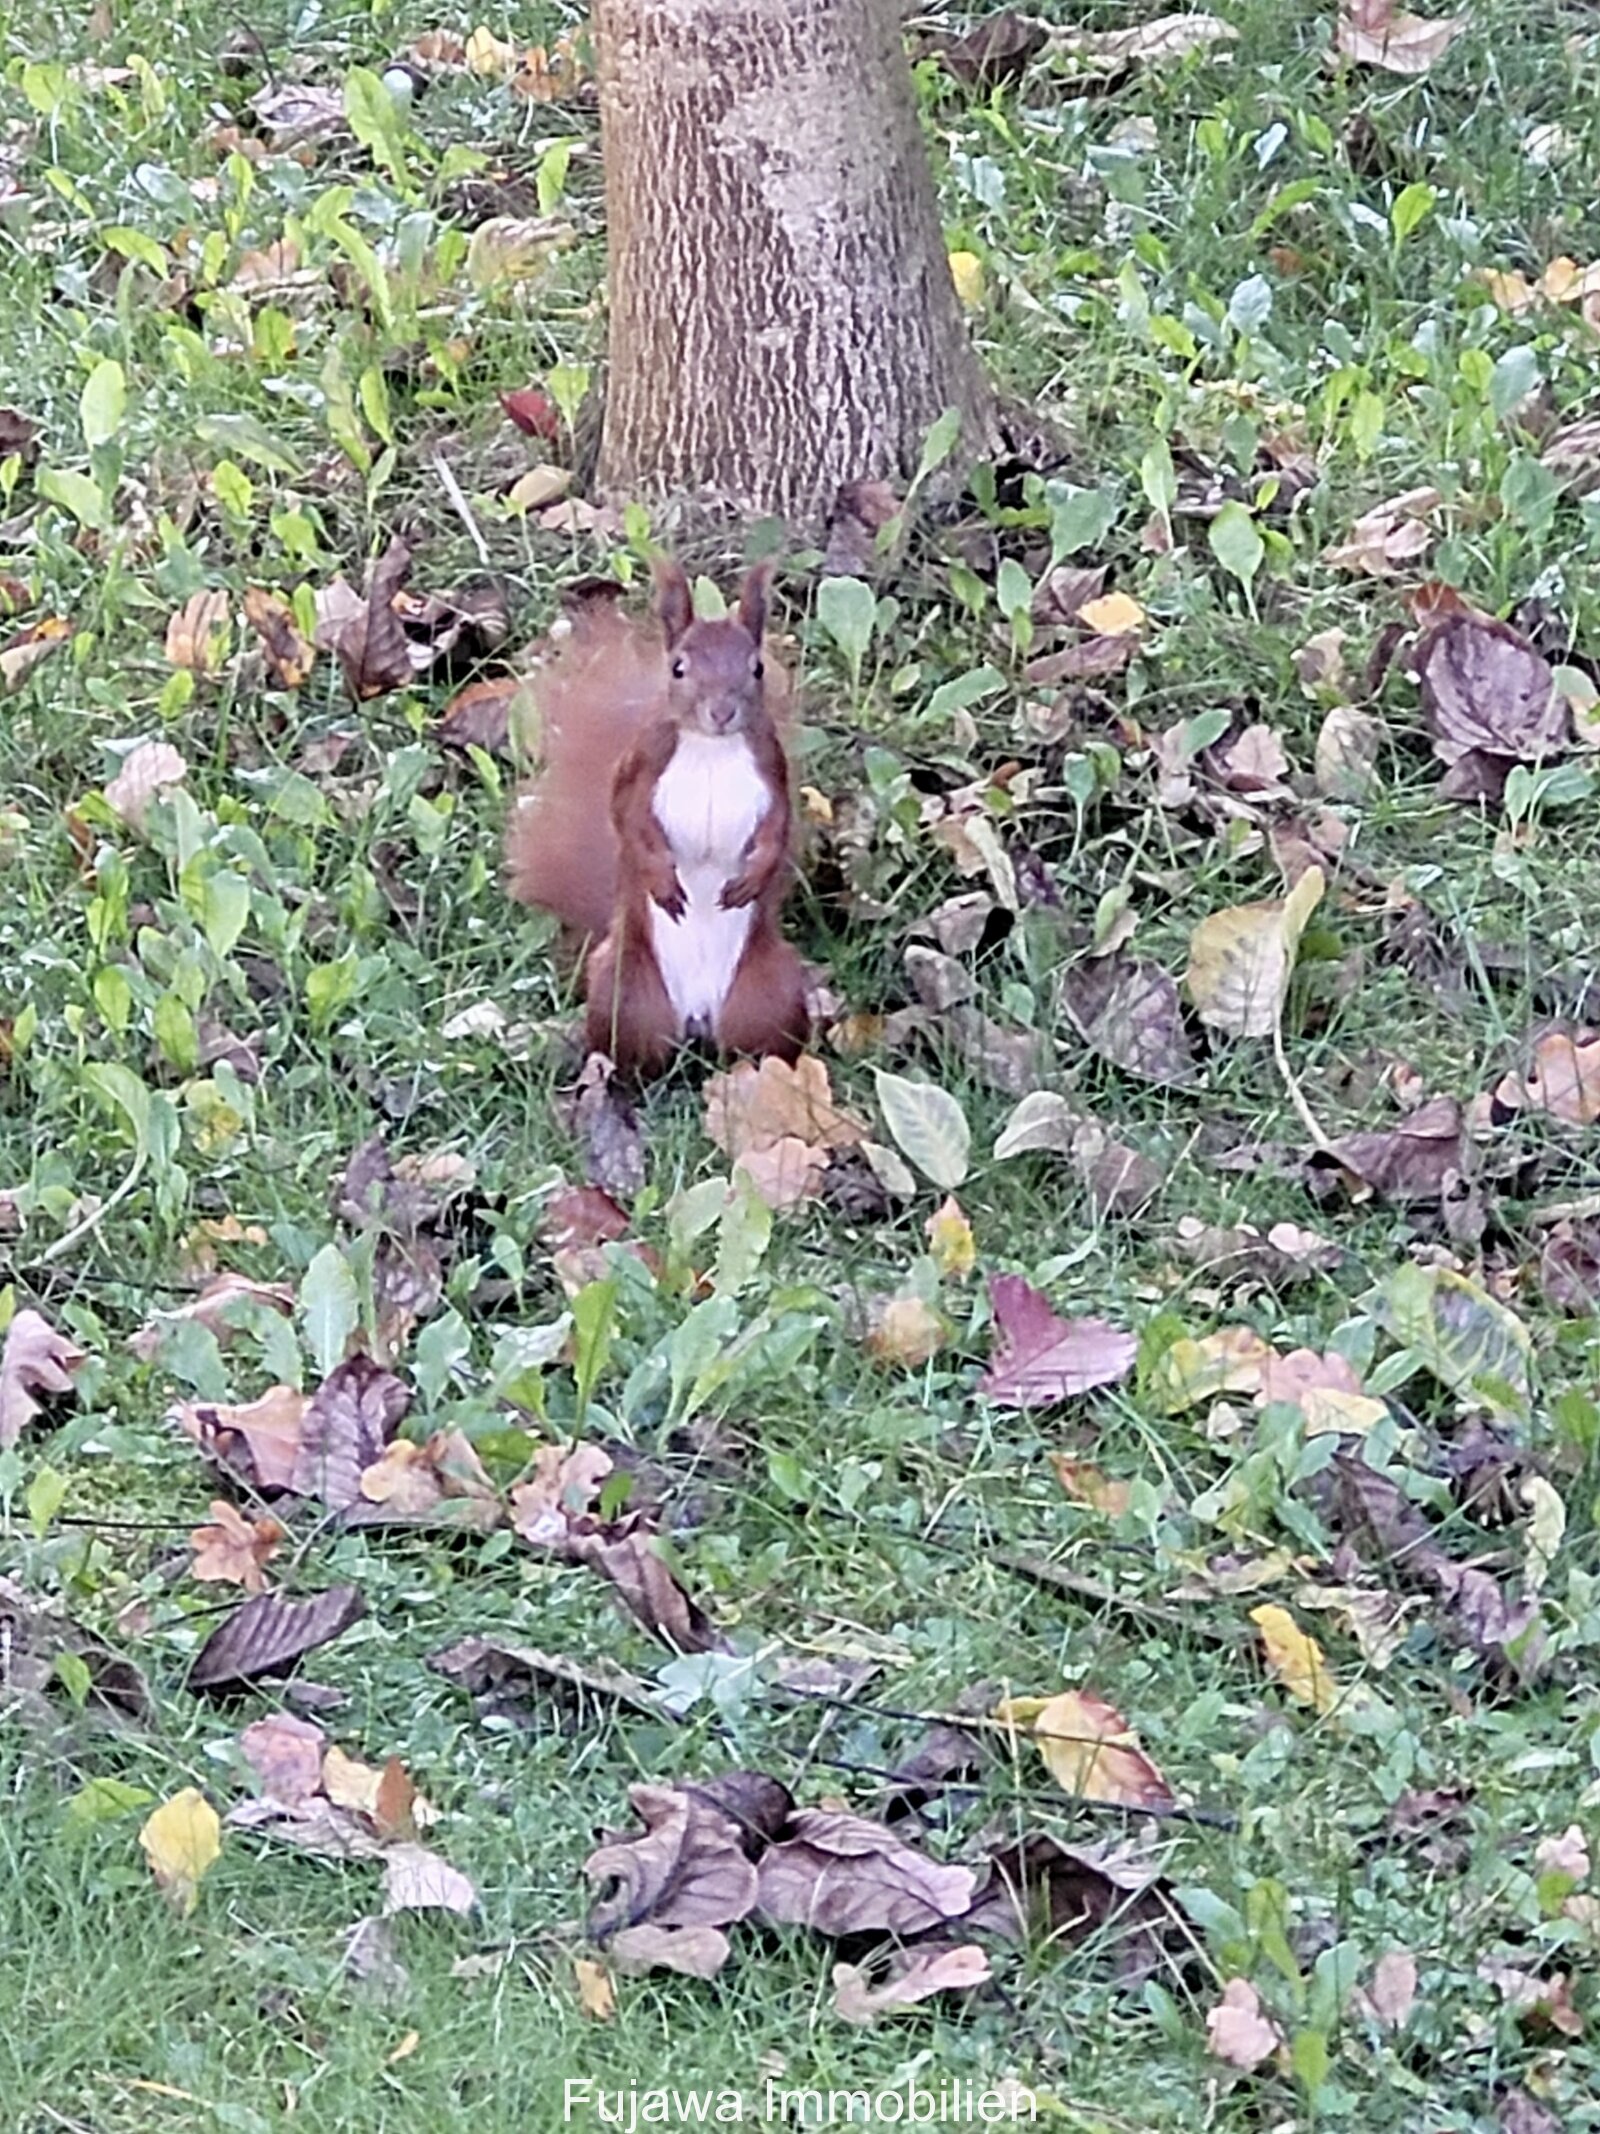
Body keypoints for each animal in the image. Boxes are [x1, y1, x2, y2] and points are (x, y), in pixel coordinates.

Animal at [507, 559, 814, 1075]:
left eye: (756, 667)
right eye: (678, 668)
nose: (722, 712)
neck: (711, 747)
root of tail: (697, 1017)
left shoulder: (773, 772)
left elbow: (777, 830)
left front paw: (753, 879)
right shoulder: (640, 766)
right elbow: (628, 824)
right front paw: (662, 882)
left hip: (772, 995)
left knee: (760, 1048)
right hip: (625, 995)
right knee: (629, 1052)